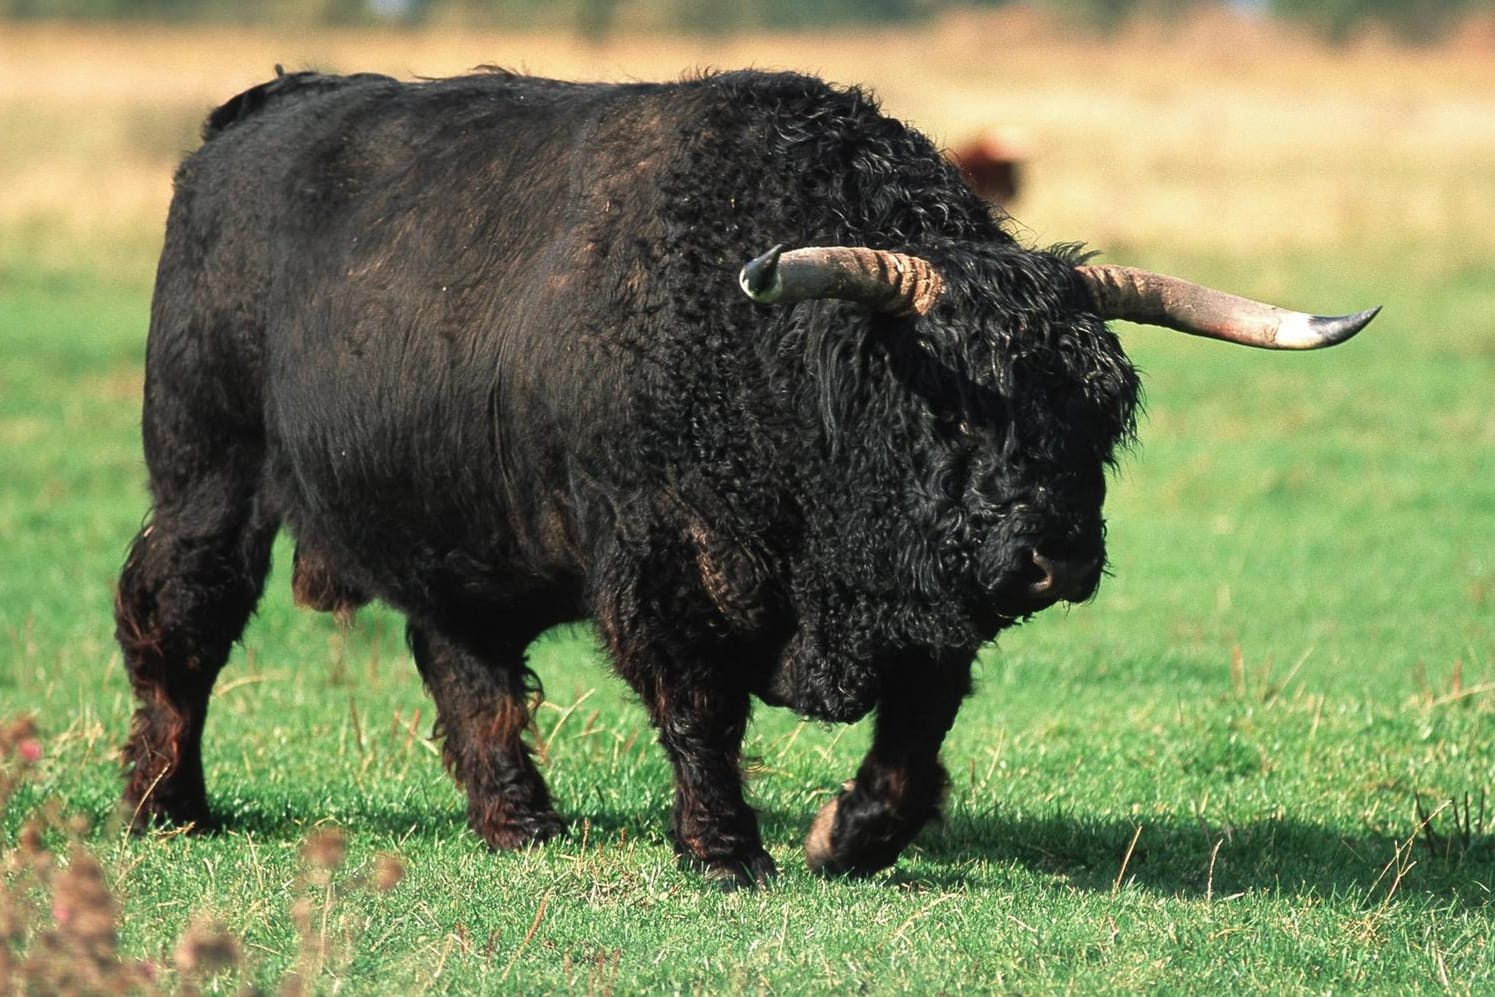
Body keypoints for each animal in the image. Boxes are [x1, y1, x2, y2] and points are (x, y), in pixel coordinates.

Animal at [116, 66, 1375, 884]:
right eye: (957, 403)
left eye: (1103, 405)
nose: (1054, 551)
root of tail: (260, 110)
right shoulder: (666, 566)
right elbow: (700, 709)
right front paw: (728, 852)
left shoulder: (926, 605)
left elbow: (915, 736)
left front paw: (844, 839)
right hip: (208, 476)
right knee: (174, 621)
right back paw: (167, 805)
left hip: (455, 529)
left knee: (462, 663)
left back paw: (521, 821)